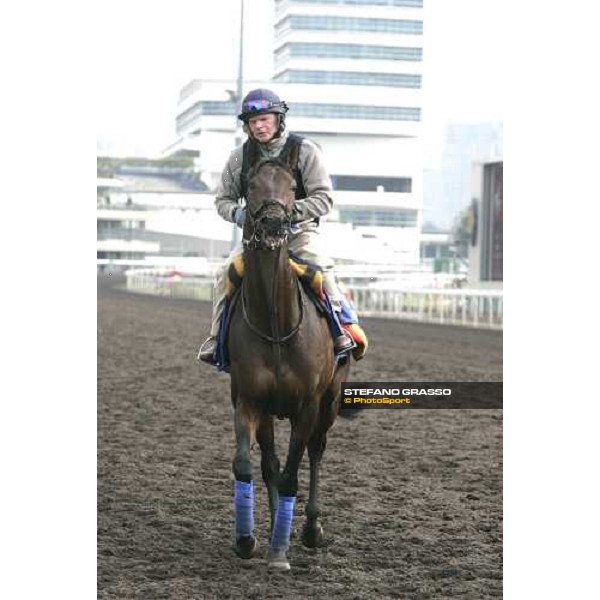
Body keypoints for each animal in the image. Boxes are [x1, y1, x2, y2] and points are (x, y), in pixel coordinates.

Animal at [226, 157, 350, 568]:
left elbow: (294, 473)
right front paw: (248, 538)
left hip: (331, 400)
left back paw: (311, 529)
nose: (274, 223)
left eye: (292, 187)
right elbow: (254, 466)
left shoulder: (308, 405)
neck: (276, 326)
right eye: (250, 184)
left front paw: (280, 550)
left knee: (316, 450)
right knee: (272, 466)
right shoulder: (250, 400)